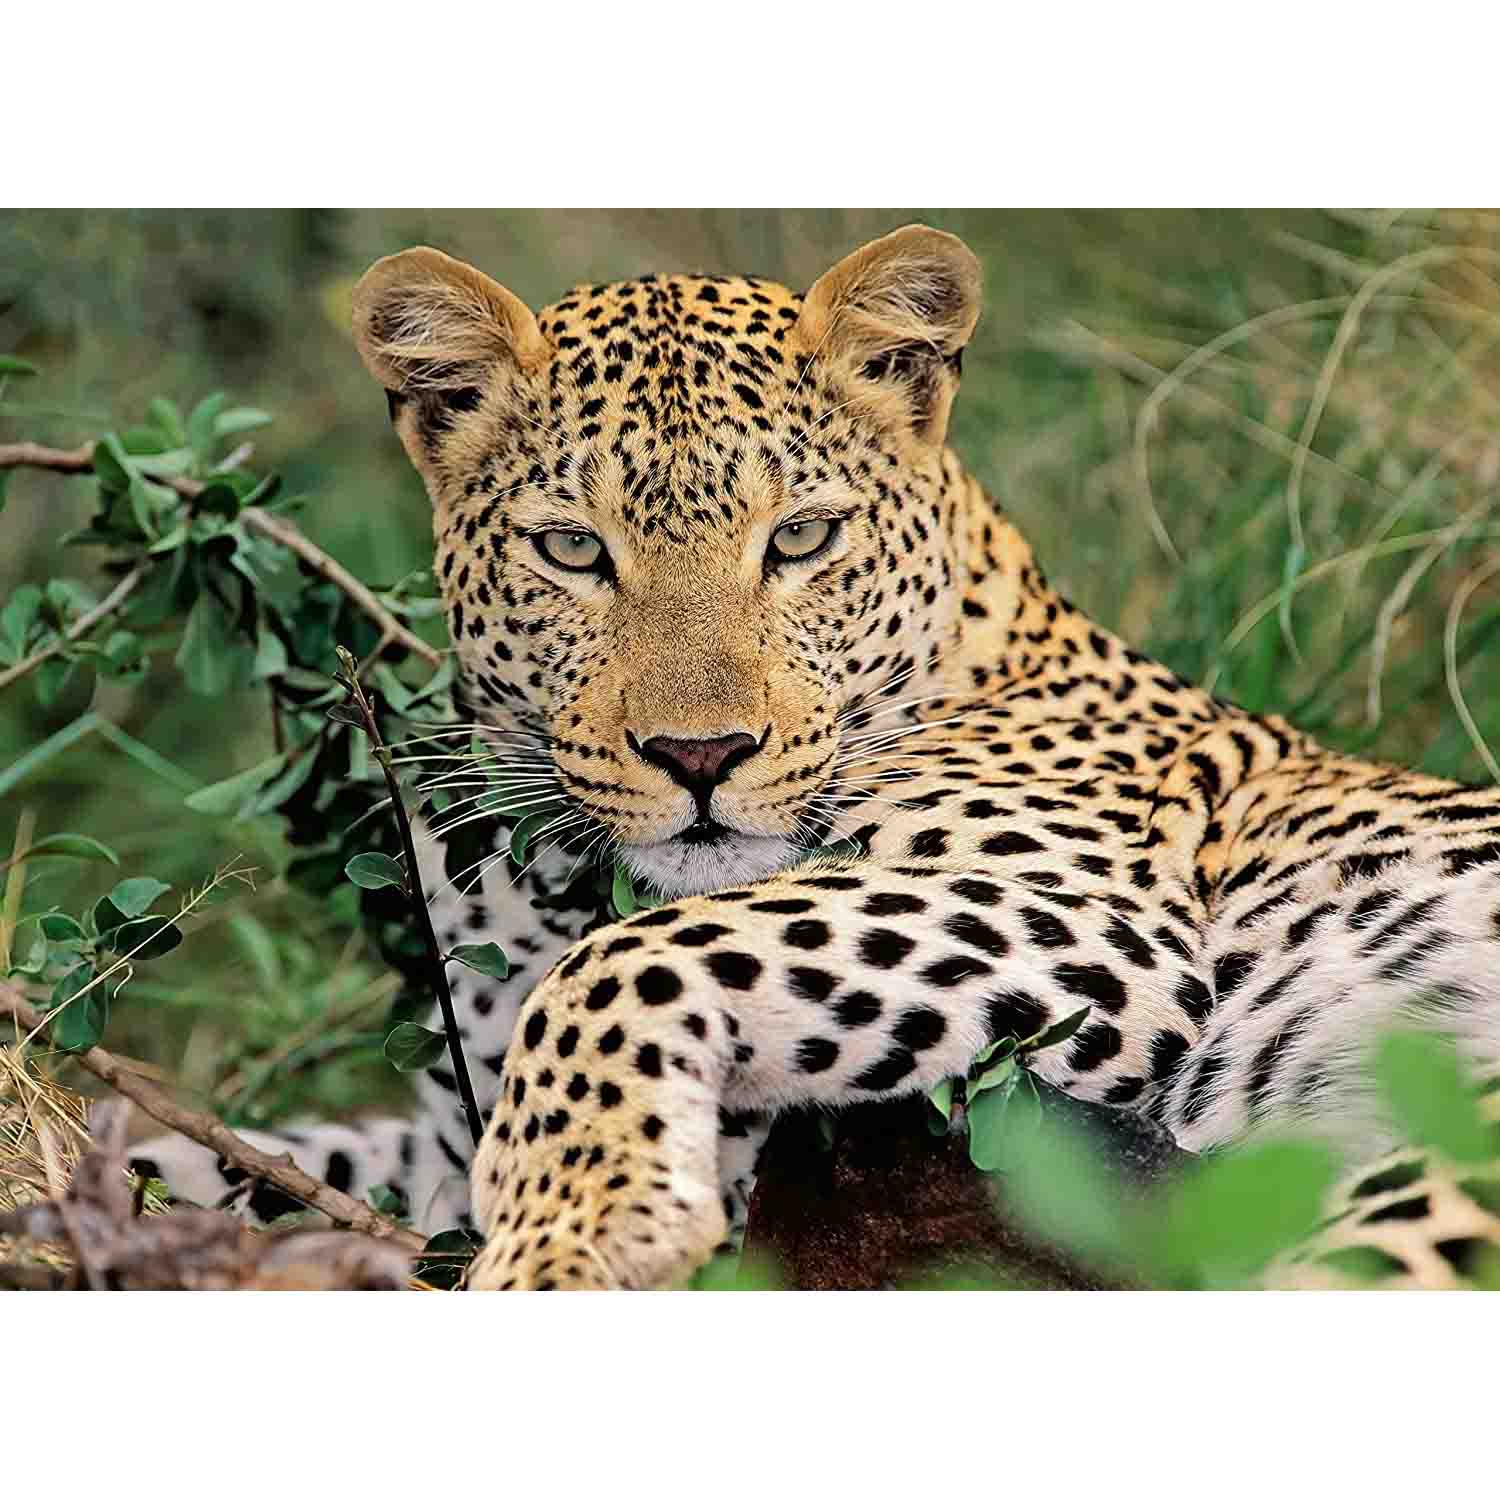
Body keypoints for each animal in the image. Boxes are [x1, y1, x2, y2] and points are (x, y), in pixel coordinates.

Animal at [135, 225, 1500, 1290]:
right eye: (573, 550)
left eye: (799, 539)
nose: (699, 756)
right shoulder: (438, 1128)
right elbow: (250, 1154)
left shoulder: (1092, 919)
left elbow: (628, 959)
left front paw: (575, 1230)